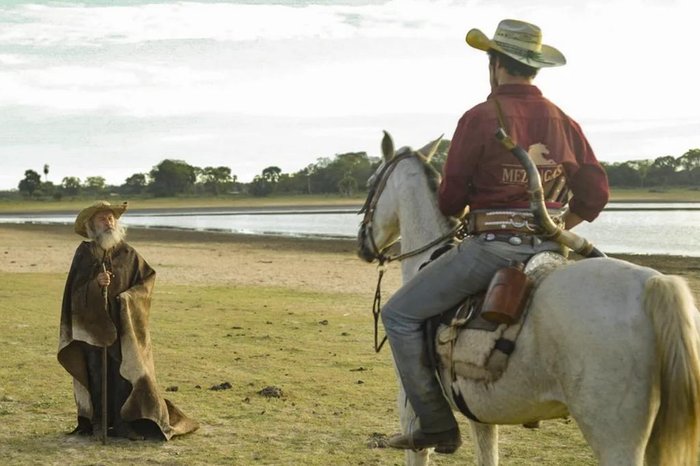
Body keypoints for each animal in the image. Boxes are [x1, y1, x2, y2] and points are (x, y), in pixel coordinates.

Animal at [358, 132, 696, 466]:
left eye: (371, 181)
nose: (362, 244)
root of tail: (653, 282)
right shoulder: (481, 416)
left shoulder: (411, 416)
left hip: (615, 439)